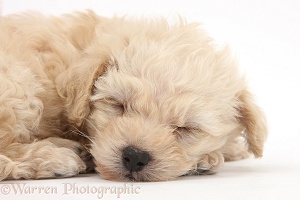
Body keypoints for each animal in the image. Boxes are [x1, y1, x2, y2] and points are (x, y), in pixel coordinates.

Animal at [0, 11, 268, 183]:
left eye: (186, 128)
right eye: (119, 105)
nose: (134, 157)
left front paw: (229, 149)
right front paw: (208, 158)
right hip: (18, 82)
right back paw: (54, 157)